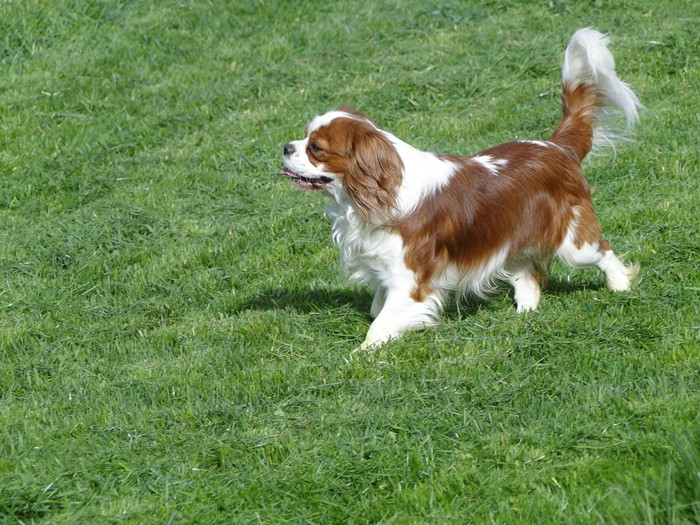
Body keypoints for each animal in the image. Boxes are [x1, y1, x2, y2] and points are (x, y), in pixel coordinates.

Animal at [282, 28, 644, 348]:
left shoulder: (409, 282)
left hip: (572, 241)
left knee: (603, 252)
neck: (379, 192)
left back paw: (620, 287)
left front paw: (358, 357)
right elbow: (376, 309)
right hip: (510, 240)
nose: (285, 147)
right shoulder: (384, 269)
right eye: (304, 136)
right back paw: (524, 315)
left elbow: (379, 325)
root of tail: (557, 147)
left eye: (316, 148)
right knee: (528, 275)